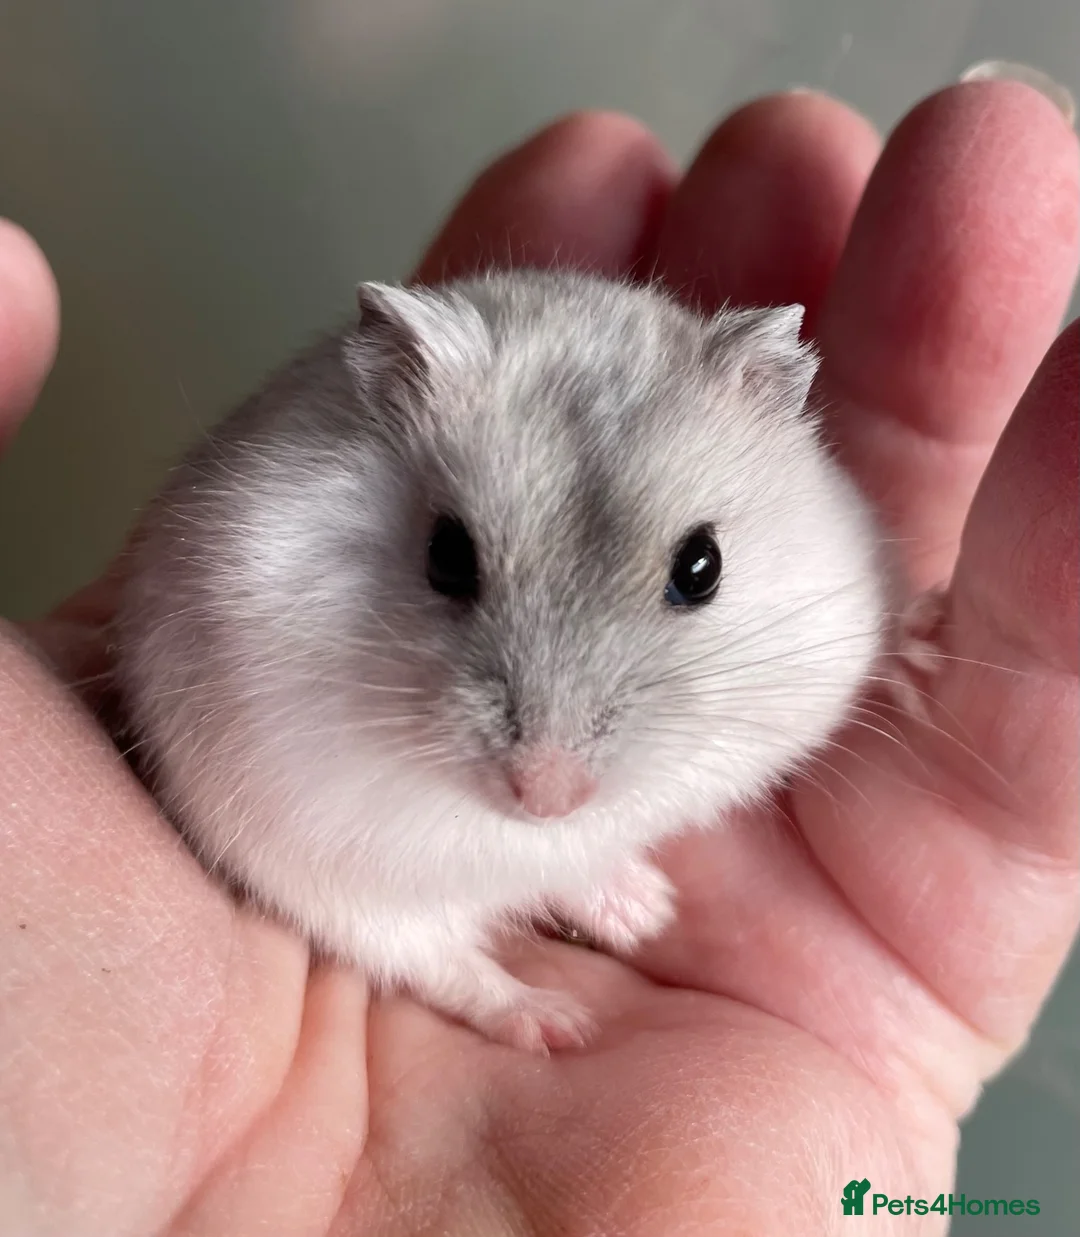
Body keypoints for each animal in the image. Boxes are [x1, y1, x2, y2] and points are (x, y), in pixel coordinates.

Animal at [114, 269, 886, 1052]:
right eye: (447, 556)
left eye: (703, 567)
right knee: (438, 962)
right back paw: (556, 1022)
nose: (547, 798)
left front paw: (651, 910)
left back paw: (640, 910)